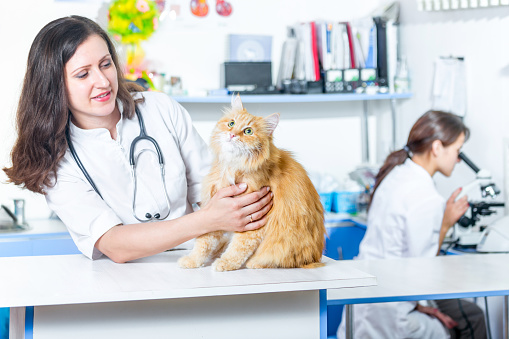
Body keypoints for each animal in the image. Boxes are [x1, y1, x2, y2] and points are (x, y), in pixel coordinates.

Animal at [177, 95, 324, 274]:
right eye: (231, 123)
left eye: (248, 131)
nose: (232, 134)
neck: (233, 165)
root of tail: (314, 257)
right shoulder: (214, 210)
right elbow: (204, 242)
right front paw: (193, 260)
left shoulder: (254, 219)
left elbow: (238, 247)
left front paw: (225, 263)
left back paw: (254, 262)